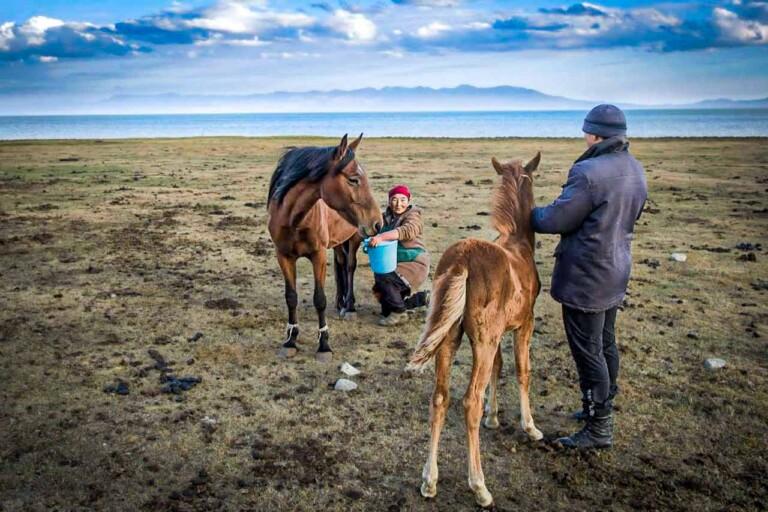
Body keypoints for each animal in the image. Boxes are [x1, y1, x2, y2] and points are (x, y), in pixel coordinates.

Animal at [267, 134, 382, 362]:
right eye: (353, 179)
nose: (377, 223)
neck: (294, 219)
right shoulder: (283, 256)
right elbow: (291, 297)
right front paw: (290, 340)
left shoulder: (317, 255)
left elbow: (319, 299)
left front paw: (324, 346)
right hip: (337, 244)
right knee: (340, 266)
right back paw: (340, 303)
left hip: (354, 238)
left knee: (349, 267)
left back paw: (349, 307)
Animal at [407, 152, 543, 508]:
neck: (517, 243)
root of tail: (462, 259)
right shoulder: (524, 323)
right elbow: (522, 370)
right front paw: (530, 426)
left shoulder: (497, 334)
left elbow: (499, 367)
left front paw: (493, 417)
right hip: (481, 340)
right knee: (469, 401)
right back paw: (479, 485)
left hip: (449, 338)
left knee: (440, 398)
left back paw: (429, 480)